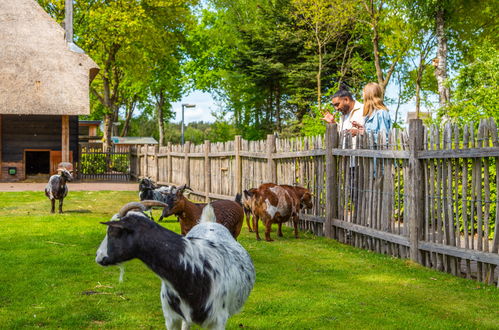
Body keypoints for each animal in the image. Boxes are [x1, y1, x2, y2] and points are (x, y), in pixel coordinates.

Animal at [95, 201, 256, 330]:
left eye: (112, 231)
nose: (98, 257)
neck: (194, 269)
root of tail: (209, 222)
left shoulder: (218, 320)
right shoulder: (171, 317)